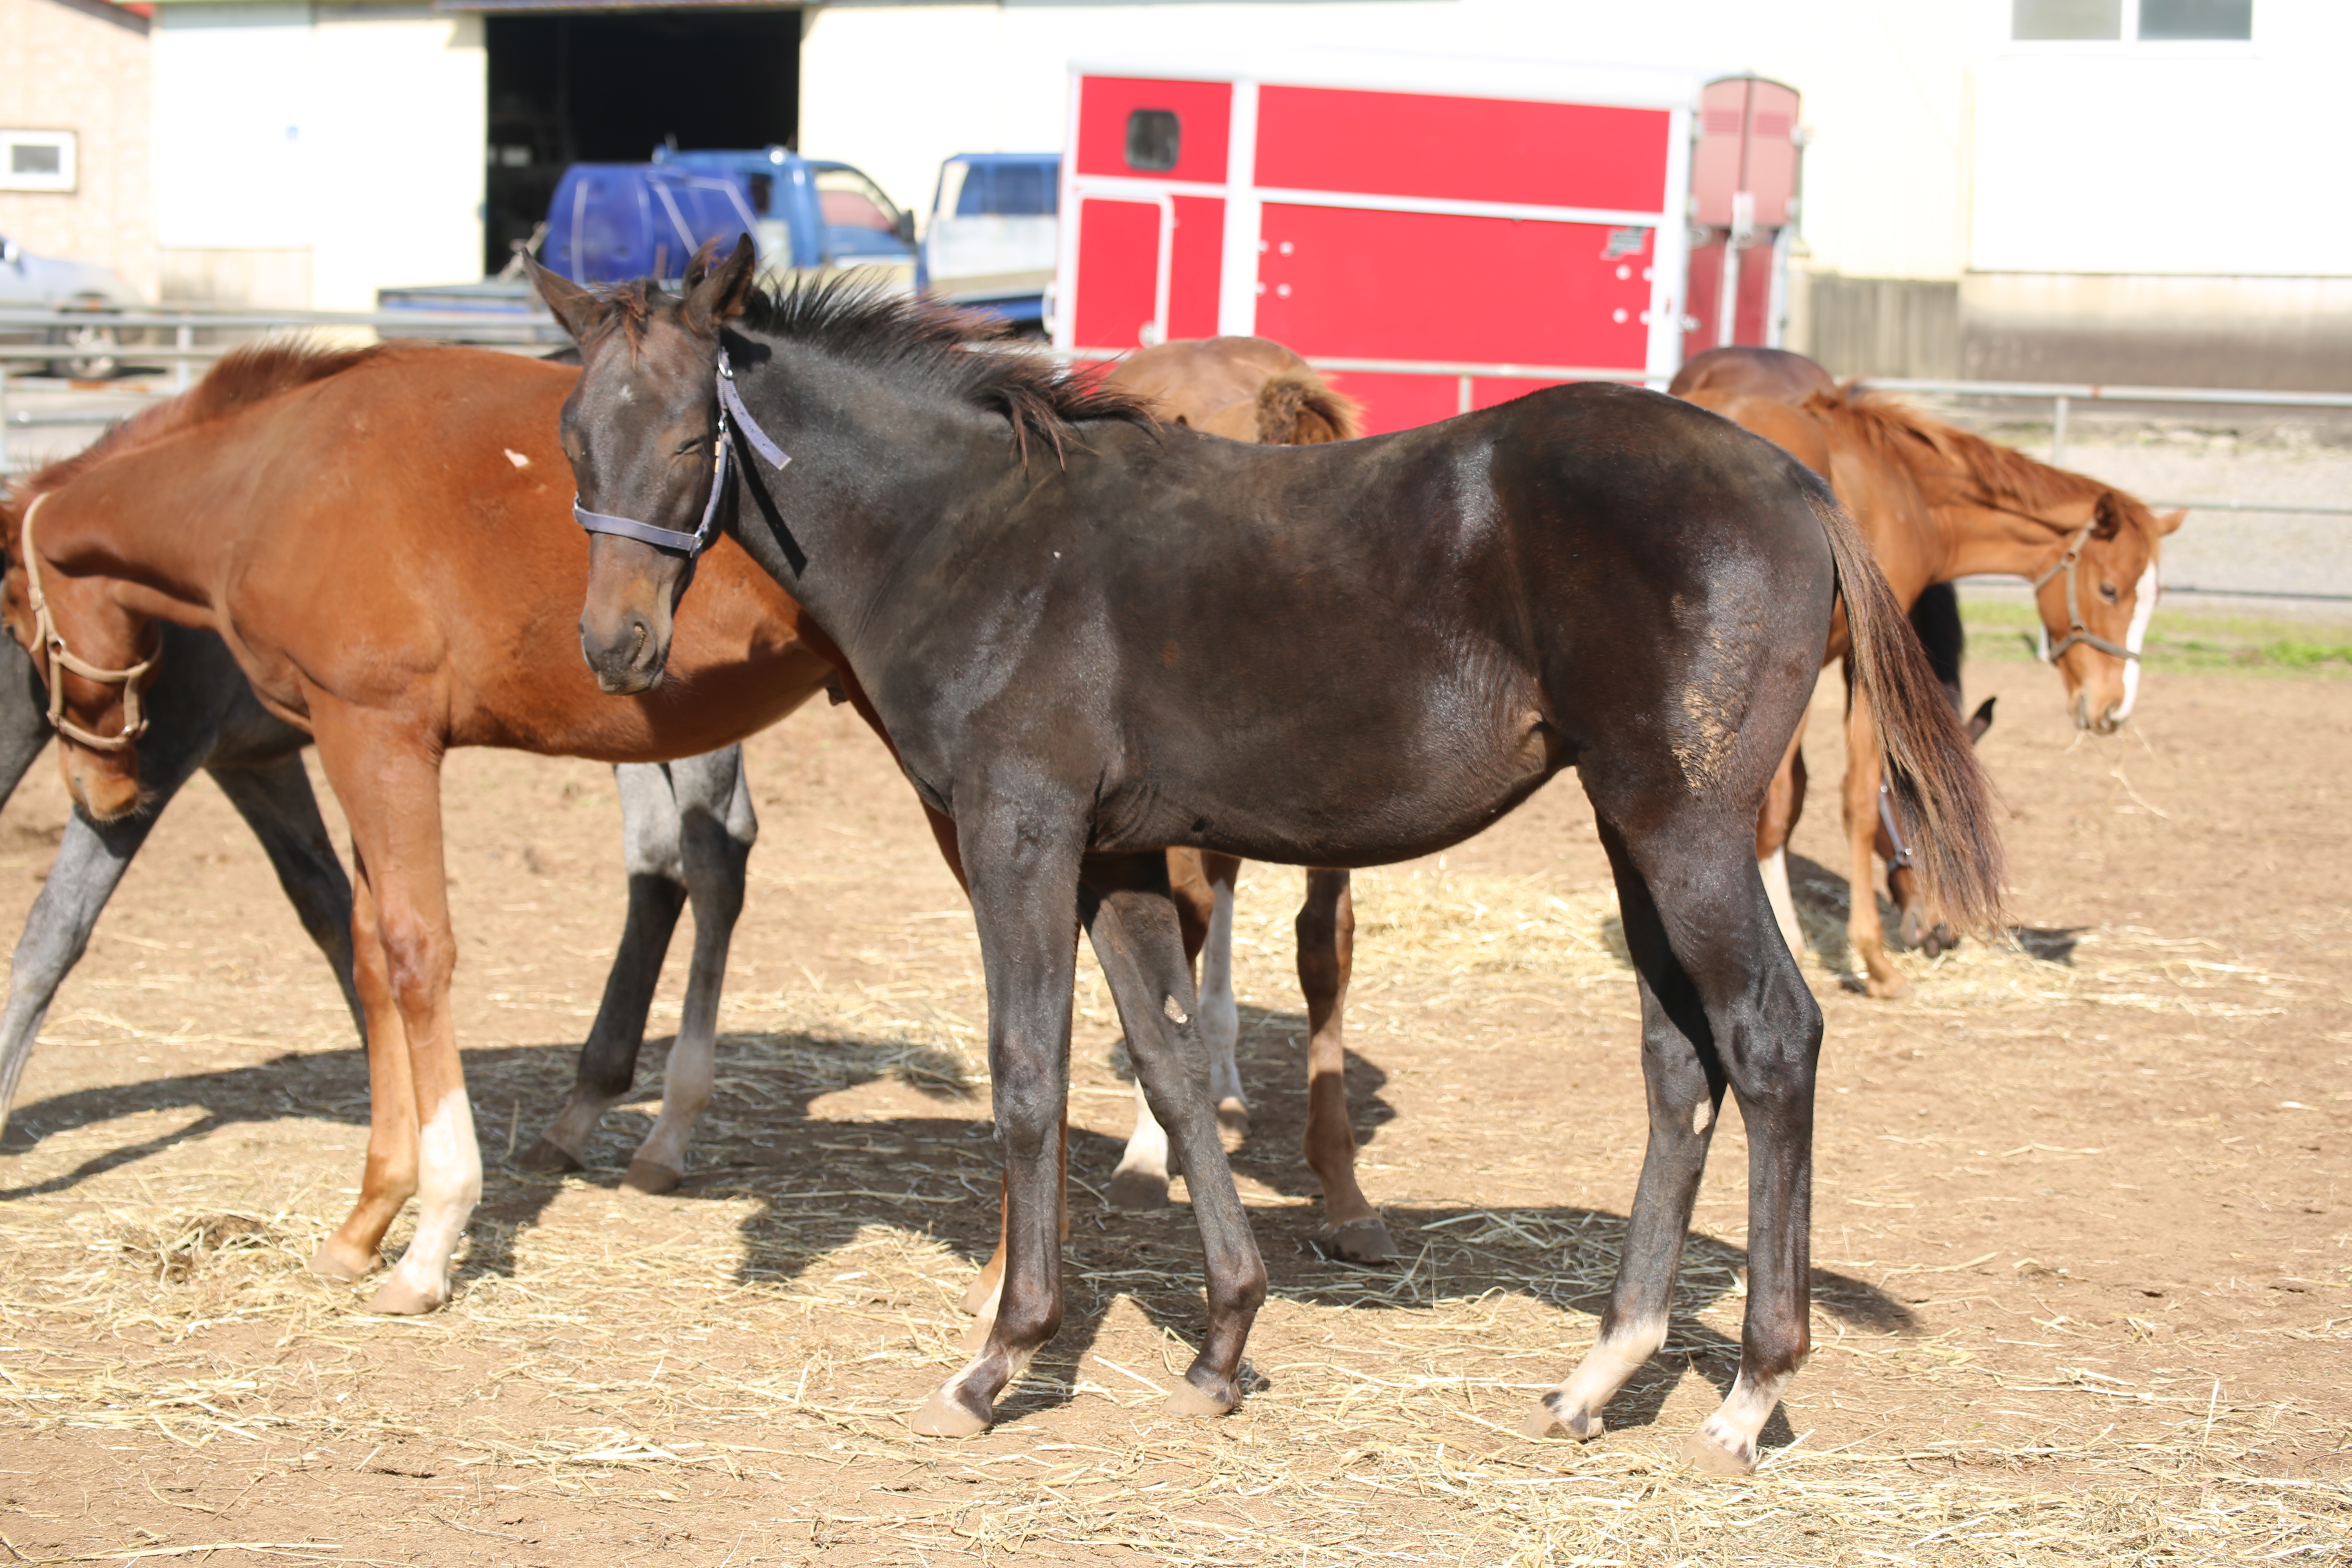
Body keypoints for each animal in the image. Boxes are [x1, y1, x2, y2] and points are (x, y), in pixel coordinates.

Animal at [1675, 350, 2183, 1001]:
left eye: (2154, 598)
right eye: (2111, 590)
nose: (2113, 707)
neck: (1906, 486)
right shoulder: (1856, 660)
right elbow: (1852, 798)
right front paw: (1871, 960)